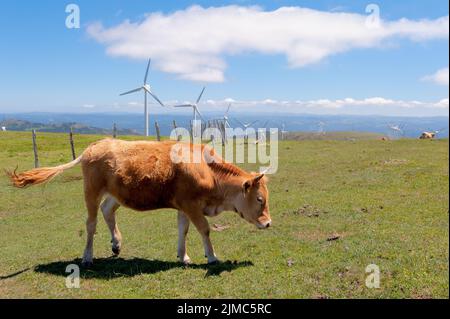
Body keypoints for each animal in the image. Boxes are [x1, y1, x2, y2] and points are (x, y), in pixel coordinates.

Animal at [7, 139, 270, 266]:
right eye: (259, 199)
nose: (268, 223)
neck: (207, 170)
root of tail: (94, 145)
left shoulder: (184, 206)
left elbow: (183, 231)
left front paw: (183, 257)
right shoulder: (192, 205)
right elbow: (204, 229)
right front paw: (212, 257)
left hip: (116, 194)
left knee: (107, 211)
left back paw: (116, 244)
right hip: (91, 191)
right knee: (91, 223)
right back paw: (88, 257)